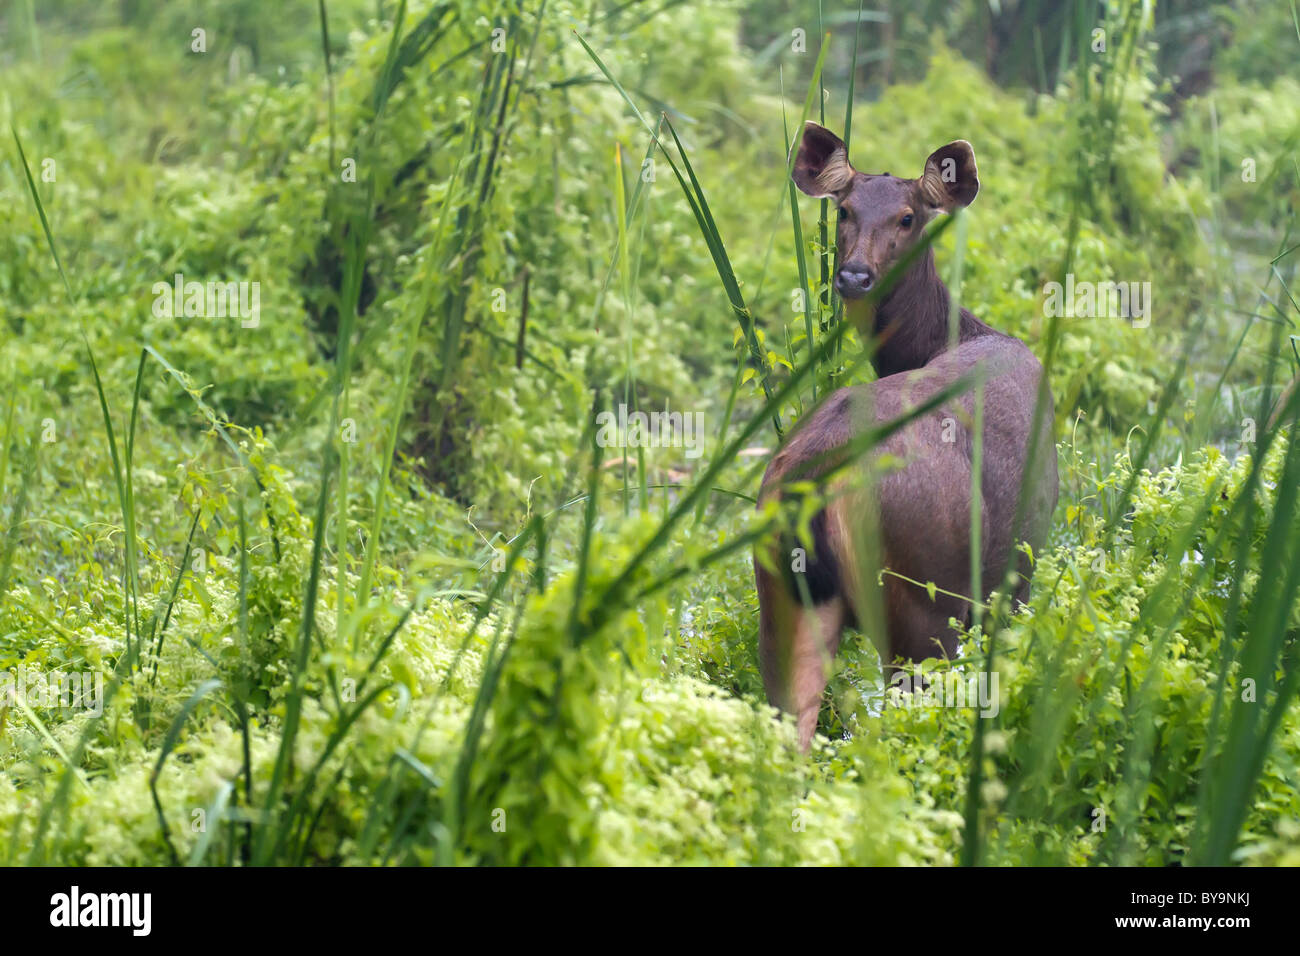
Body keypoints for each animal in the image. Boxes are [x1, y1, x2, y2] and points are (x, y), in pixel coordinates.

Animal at [759, 123, 1055, 749]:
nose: (853, 275)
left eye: (906, 217)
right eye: (844, 210)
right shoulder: (1017, 571)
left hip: (783, 597)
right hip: (924, 602)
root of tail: (815, 481)